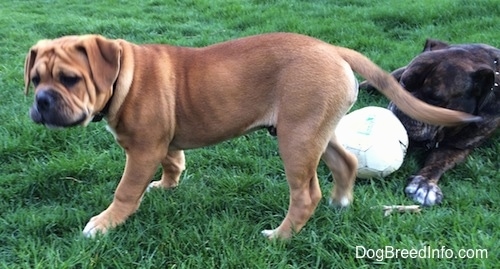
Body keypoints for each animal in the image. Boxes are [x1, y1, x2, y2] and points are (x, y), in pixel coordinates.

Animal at [24, 32, 480, 238]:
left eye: (69, 79)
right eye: (36, 78)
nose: (42, 100)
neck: (125, 76)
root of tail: (330, 48)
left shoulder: (141, 150)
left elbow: (125, 190)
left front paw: (104, 223)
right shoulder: (159, 143)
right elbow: (174, 161)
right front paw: (167, 187)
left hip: (295, 140)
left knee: (305, 194)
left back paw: (279, 237)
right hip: (317, 130)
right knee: (347, 161)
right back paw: (341, 202)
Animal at [362, 38, 498, 205]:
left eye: (435, 100)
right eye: (404, 84)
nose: (403, 105)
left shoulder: (456, 148)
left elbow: (437, 163)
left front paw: (424, 183)